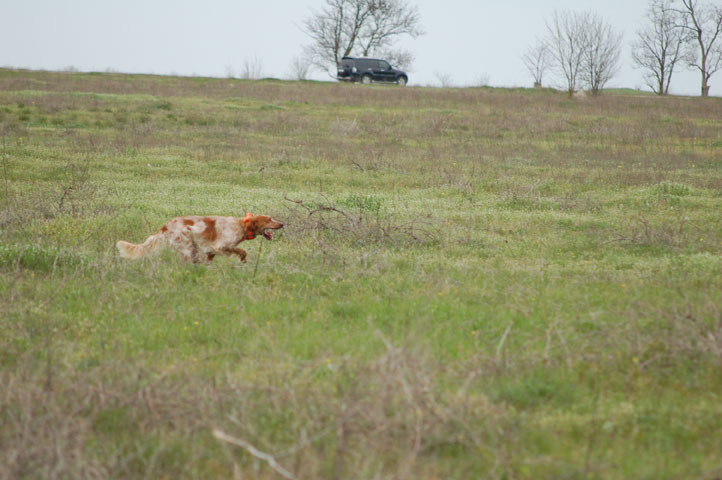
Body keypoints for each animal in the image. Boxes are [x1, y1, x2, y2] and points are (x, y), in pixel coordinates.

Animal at [116, 215, 282, 266]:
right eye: (268, 219)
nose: (282, 224)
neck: (241, 225)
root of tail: (164, 227)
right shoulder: (221, 246)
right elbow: (242, 251)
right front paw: (243, 259)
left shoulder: (210, 252)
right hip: (186, 246)